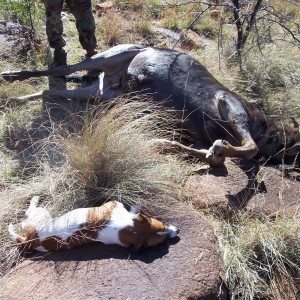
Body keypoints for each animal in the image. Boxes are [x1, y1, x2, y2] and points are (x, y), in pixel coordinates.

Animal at [8, 196, 178, 252]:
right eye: (162, 225)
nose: (177, 231)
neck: (128, 227)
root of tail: (30, 240)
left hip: (41, 216)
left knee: (24, 219)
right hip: (41, 214)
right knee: (27, 214)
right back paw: (34, 199)